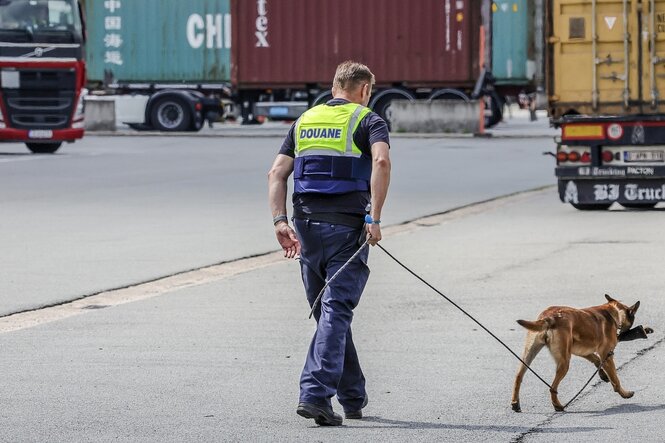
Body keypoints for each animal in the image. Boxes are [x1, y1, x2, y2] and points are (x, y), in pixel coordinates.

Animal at [510, 294, 644, 412]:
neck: (612, 311)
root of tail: (549, 317)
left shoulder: (583, 352)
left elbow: (596, 360)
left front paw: (603, 375)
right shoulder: (607, 355)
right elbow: (615, 379)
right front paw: (624, 393)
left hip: (529, 354)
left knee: (519, 375)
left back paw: (515, 402)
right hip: (564, 363)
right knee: (553, 387)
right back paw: (557, 405)